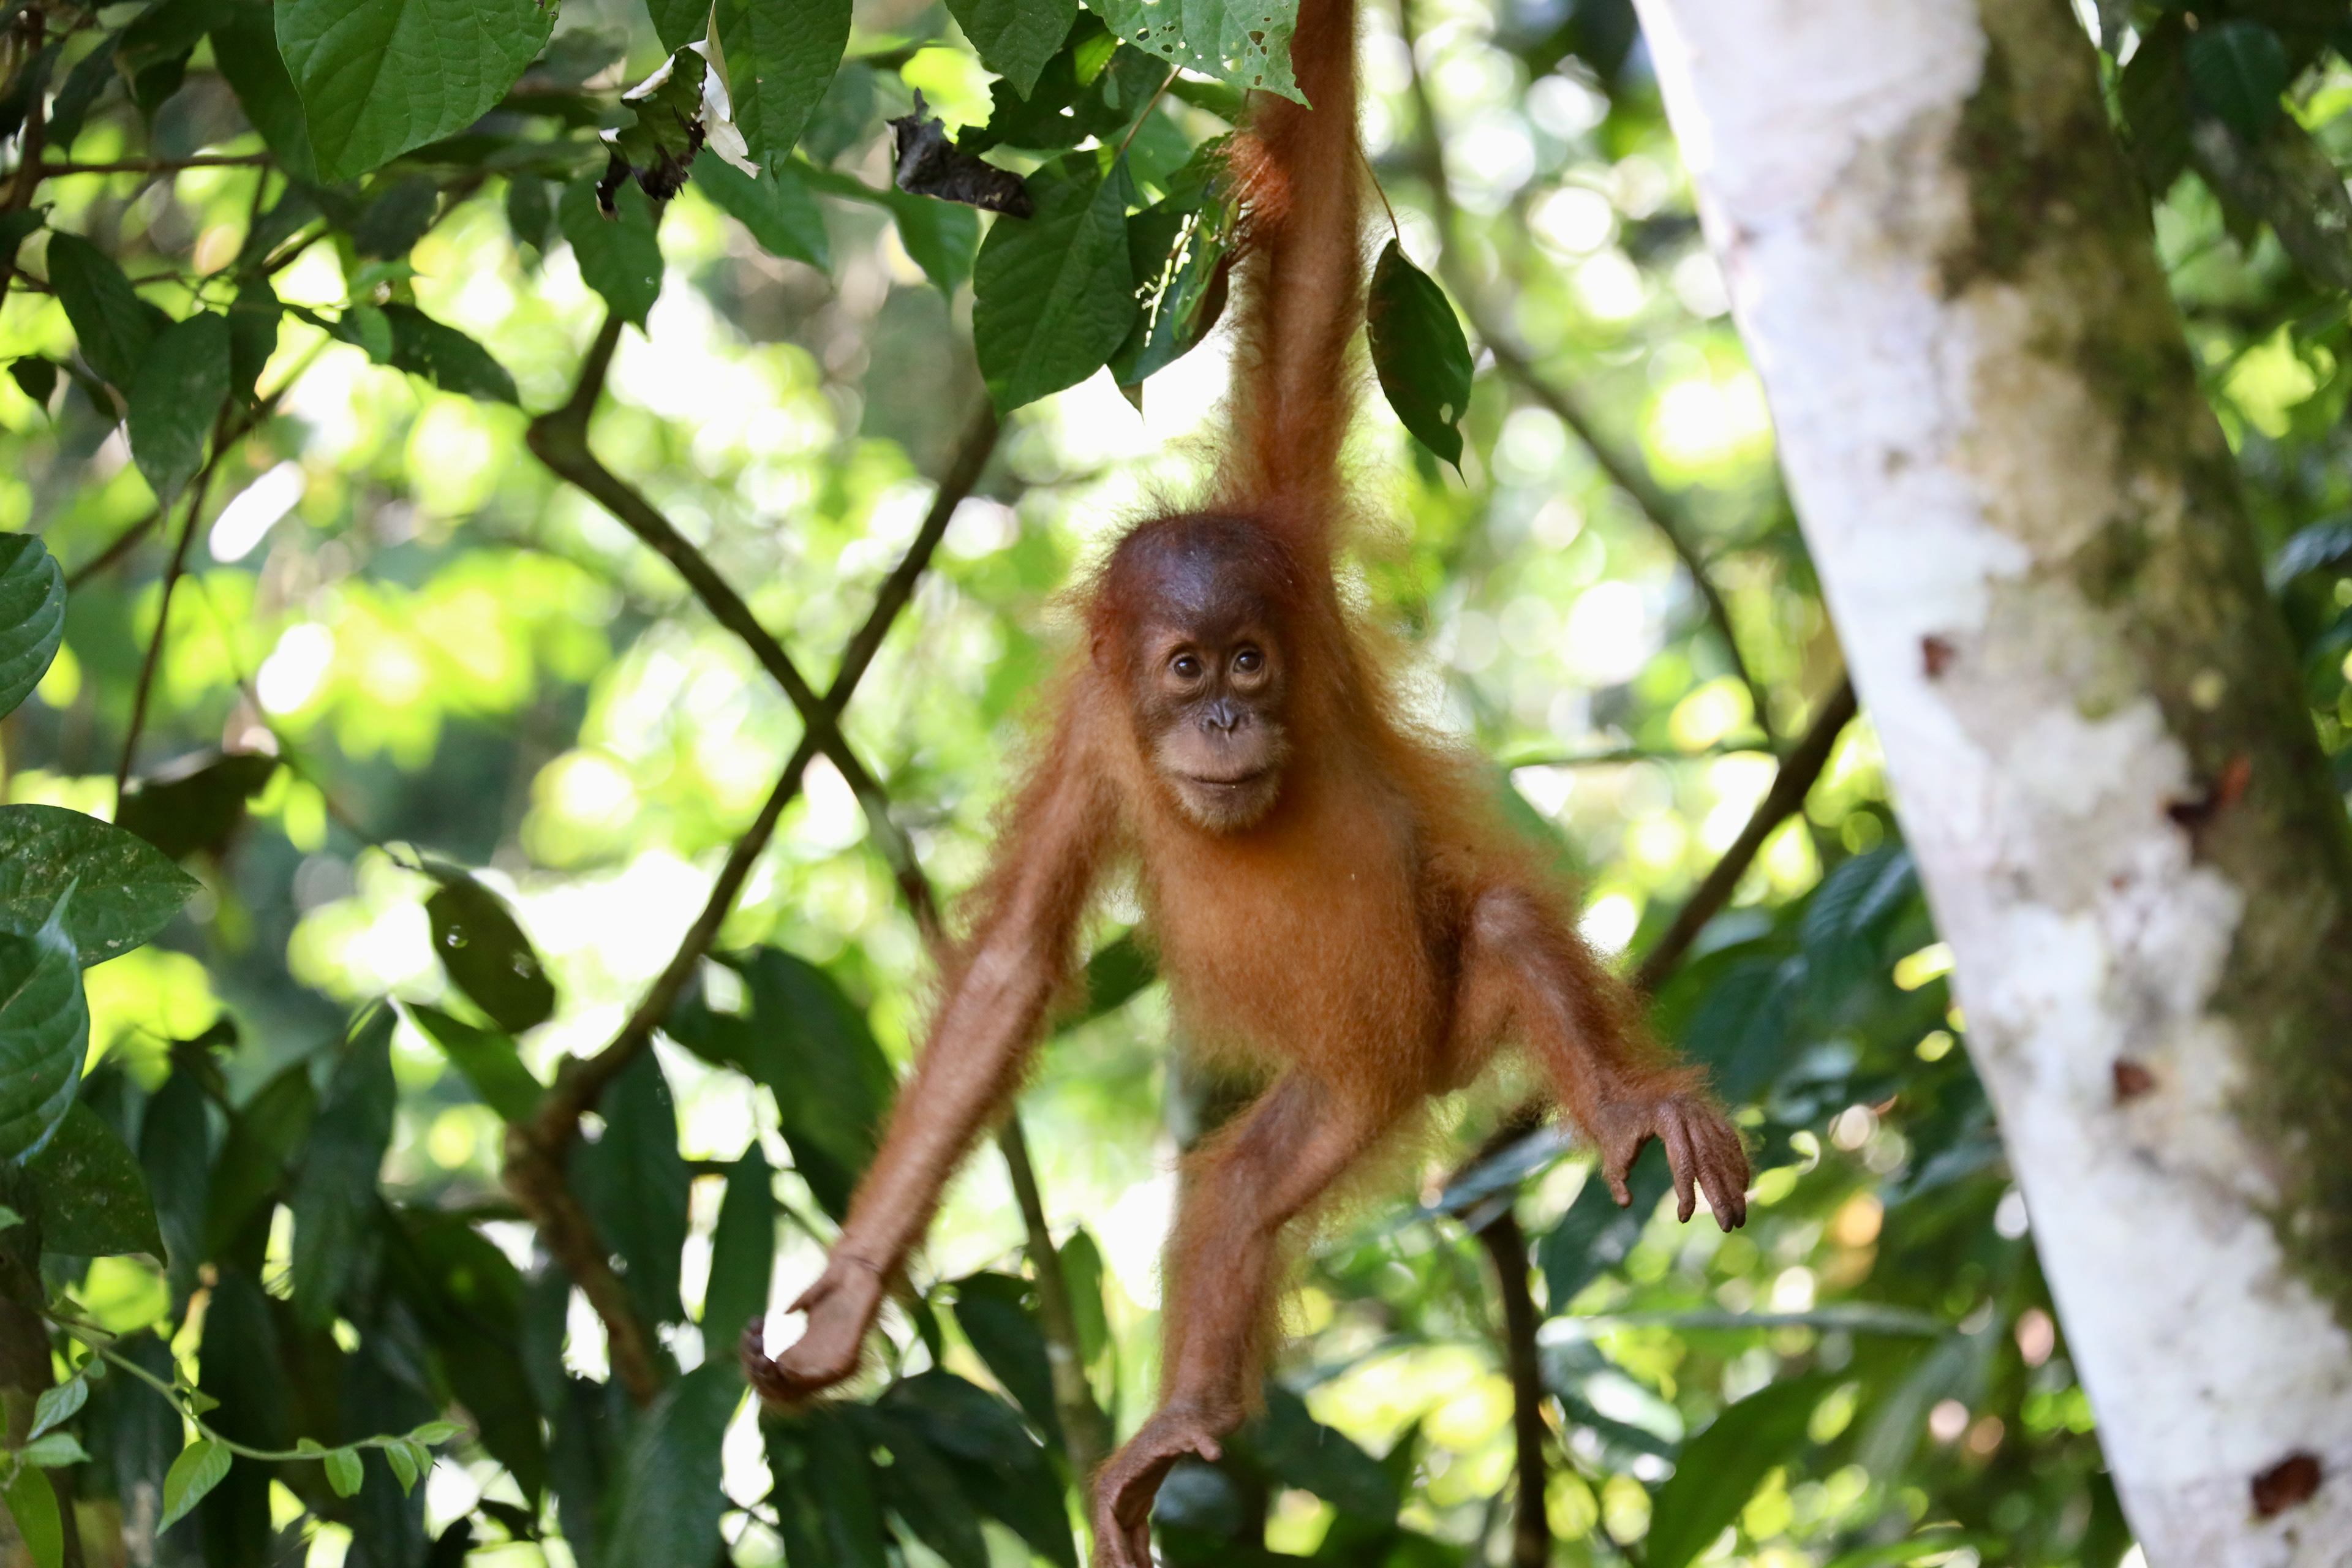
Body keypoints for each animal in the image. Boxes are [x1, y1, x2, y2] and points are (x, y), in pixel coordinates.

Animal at [742, 0, 1750, 1560]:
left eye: (1251, 664)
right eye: (1183, 668)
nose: (1224, 720)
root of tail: (1405, 1073)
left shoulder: (1300, 568)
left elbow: (1320, 243)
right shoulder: (1092, 752)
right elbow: (1010, 968)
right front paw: (844, 1306)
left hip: (1426, 1026)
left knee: (1502, 931)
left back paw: (1628, 1099)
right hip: (1334, 1095)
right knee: (1231, 1205)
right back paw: (1174, 1429)